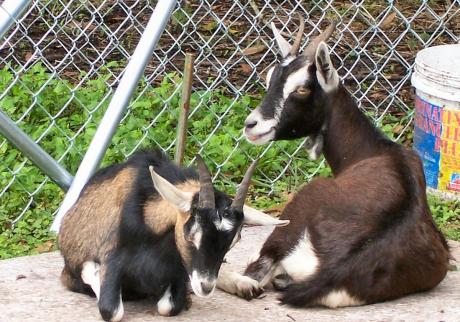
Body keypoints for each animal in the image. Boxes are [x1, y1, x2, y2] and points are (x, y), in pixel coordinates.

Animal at [58, 150, 288, 320]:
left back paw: (246, 284)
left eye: (233, 242)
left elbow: (169, 306)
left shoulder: (180, 272)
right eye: (191, 235)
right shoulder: (105, 261)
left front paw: (186, 299)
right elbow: (112, 310)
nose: (206, 287)